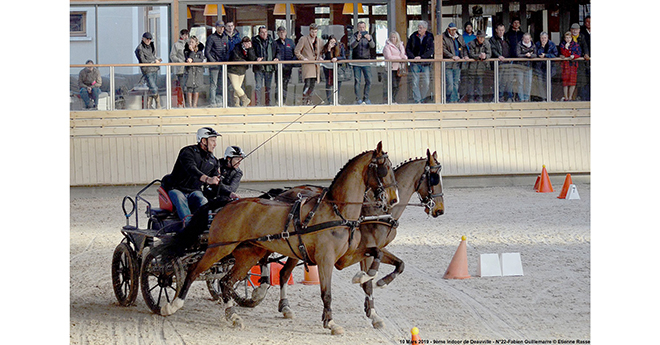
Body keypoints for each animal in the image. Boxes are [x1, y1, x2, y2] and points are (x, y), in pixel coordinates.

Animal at [159, 141, 398, 334]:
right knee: (194, 271)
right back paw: (172, 305)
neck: (337, 212)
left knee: (226, 281)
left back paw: (233, 316)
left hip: (248, 254)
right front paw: (330, 323)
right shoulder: (326, 260)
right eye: (384, 168)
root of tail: (228, 203)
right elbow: (326, 292)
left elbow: (377, 254)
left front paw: (367, 277)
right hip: (218, 248)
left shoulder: (345, 257)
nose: (393, 200)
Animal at [262, 149, 444, 326]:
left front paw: (381, 285)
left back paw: (284, 306)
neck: (380, 212)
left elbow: (399, 264)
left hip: (295, 248)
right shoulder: (363, 250)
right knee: (271, 263)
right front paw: (372, 309)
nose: (440, 210)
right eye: (434, 179)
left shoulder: (372, 249)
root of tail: (282, 193)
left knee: (283, 272)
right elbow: (368, 282)